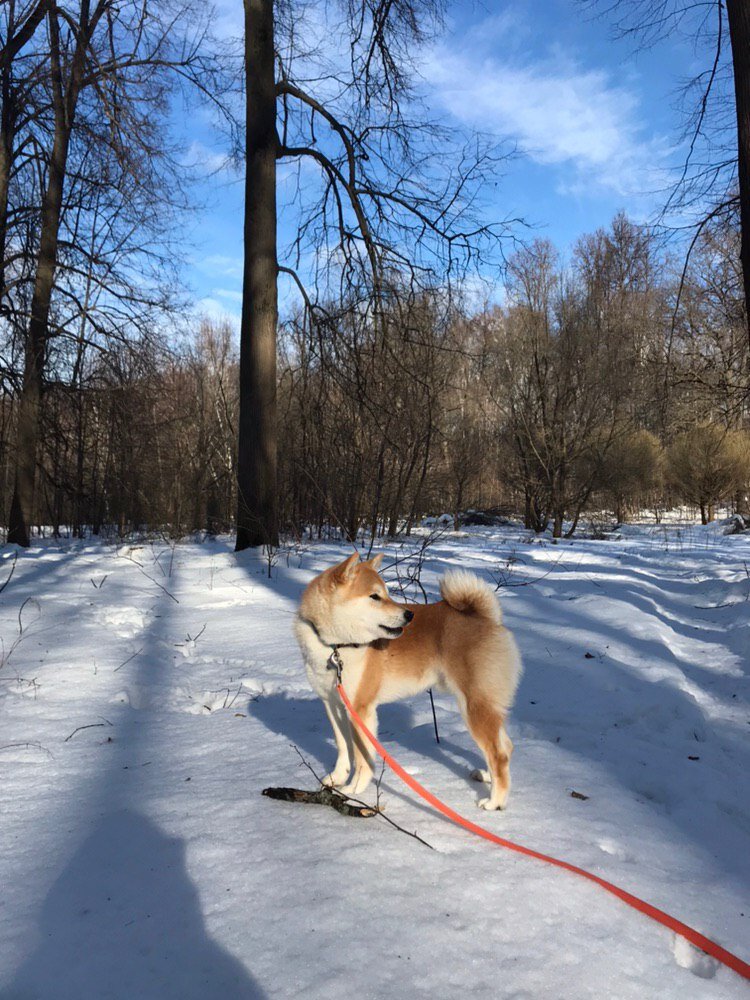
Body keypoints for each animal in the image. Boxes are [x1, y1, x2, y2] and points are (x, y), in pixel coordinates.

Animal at [294, 552, 524, 808]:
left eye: (385, 593)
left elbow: (361, 756)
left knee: (498, 754)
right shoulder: (333, 704)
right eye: (375, 596)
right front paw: (336, 778)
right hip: (486, 706)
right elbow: (343, 747)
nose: (409, 614)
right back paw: (486, 776)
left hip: (475, 706)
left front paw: (354, 788)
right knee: (506, 747)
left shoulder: (360, 709)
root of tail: (487, 617)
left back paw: (494, 802)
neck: (337, 646)